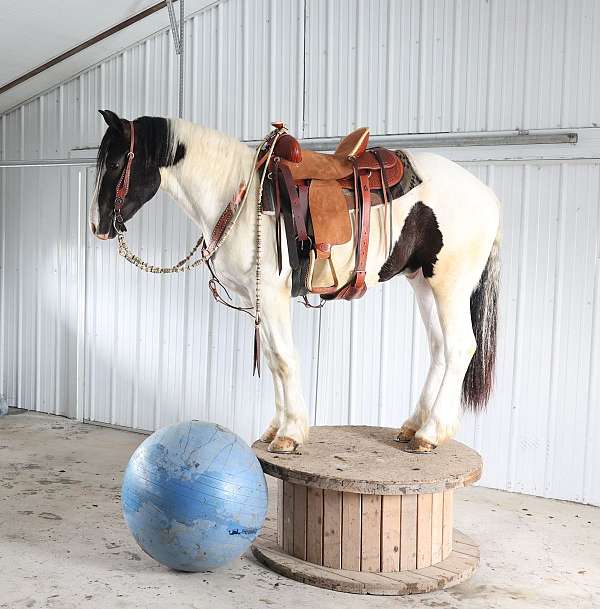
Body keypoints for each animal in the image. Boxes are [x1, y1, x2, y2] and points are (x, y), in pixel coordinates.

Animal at [90, 109, 502, 452]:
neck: (238, 195)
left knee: (460, 347)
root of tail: (488, 196)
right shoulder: (258, 300)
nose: (97, 226)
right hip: (423, 283)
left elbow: (285, 360)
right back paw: (414, 425)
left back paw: (431, 433)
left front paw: (290, 434)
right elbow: (273, 360)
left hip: (449, 286)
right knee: (439, 348)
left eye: (116, 161)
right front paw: (276, 428)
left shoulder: (273, 296)